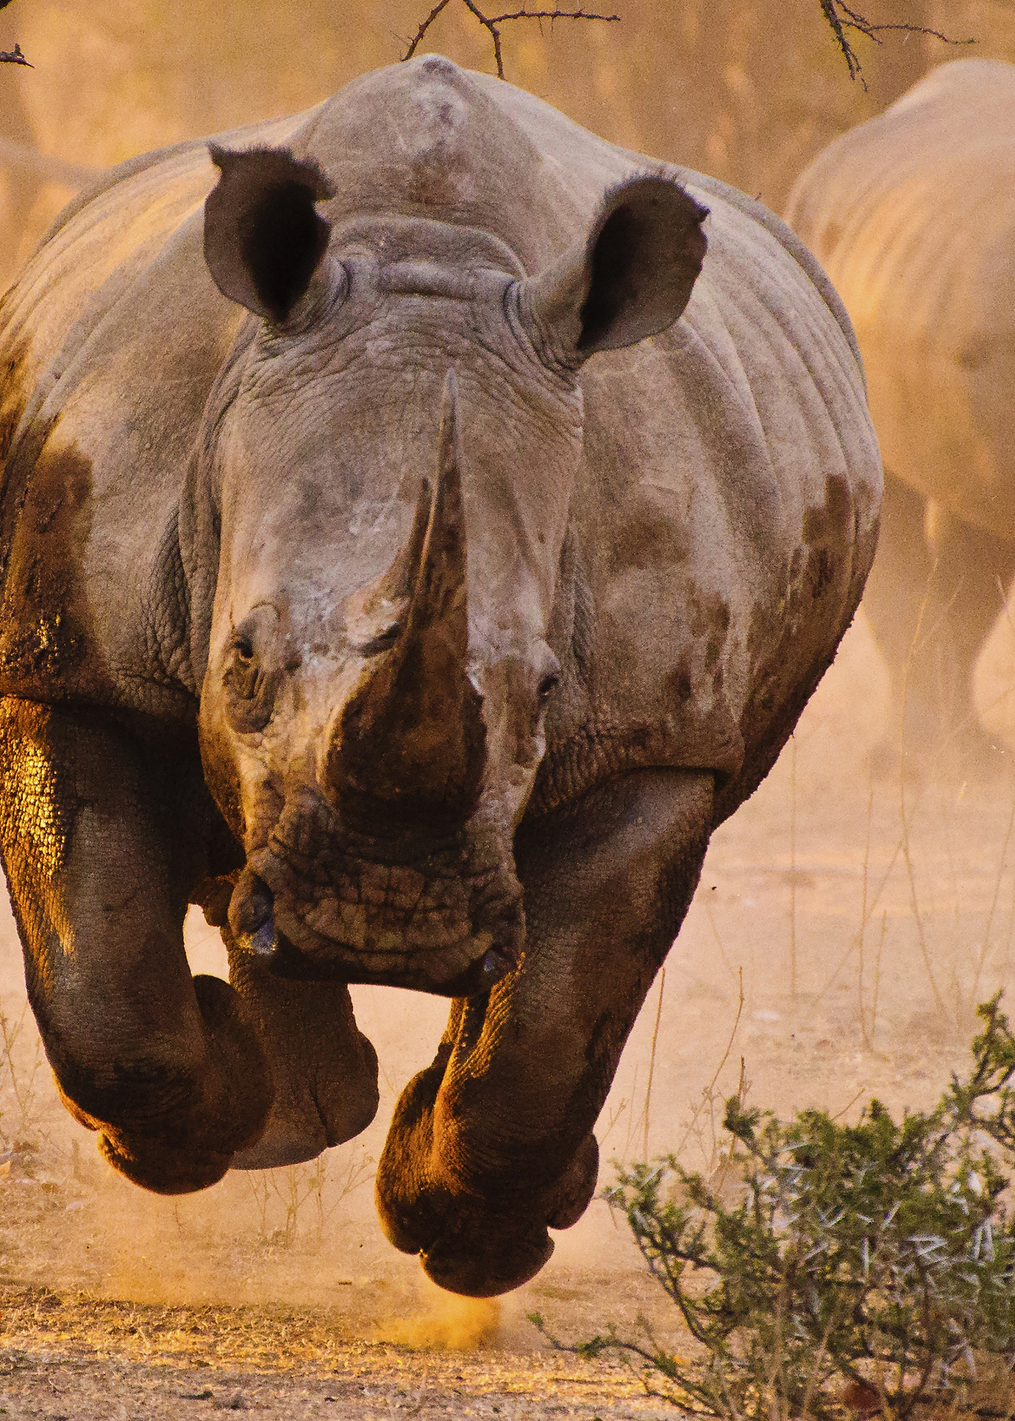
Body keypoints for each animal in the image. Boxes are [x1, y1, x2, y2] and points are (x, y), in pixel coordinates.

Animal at [0, 56, 880, 1296]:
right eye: (241, 659)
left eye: (546, 690)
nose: (386, 918)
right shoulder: (69, 654)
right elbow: (104, 987)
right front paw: (187, 1129)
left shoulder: (656, 741)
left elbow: (546, 1035)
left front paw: (466, 1238)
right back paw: (294, 1115)